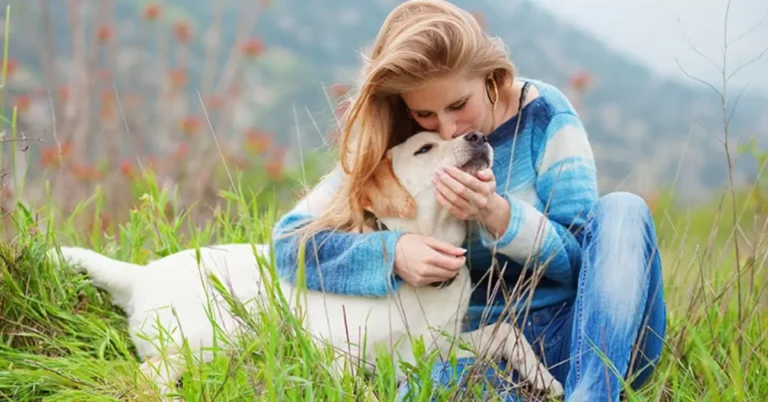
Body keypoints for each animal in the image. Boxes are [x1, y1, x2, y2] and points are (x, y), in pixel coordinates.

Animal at [48, 133, 564, 398]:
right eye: (424, 148)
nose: (477, 135)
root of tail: (140, 275)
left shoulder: (431, 349)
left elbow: (506, 332)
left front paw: (545, 379)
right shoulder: (339, 355)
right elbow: (361, 391)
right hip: (215, 336)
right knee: (148, 376)